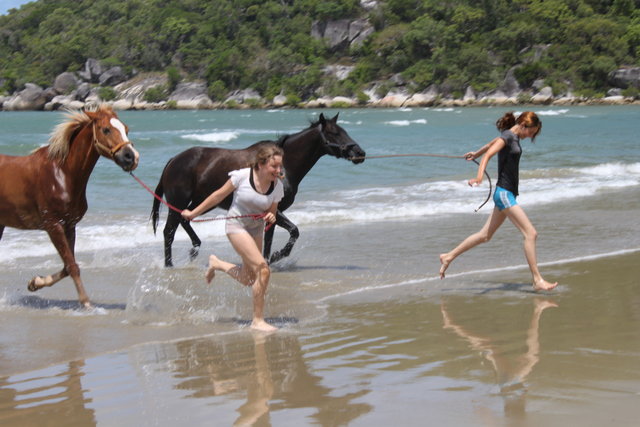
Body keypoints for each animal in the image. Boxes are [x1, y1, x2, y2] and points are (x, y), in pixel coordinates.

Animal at [0, 105, 139, 310]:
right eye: (106, 129)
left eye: (126, 129)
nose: (131, 157)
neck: (62, 173)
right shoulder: (53, 226)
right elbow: (72, 266)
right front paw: (86, 303)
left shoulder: (70, 226)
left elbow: (68, 265)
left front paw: (35, 283)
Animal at [149, 113, 364, 268]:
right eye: (335, 133)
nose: (360, 153)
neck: (283, 166)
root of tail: (173, 160)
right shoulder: (276, 210)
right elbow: (293, 231)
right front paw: (276, 256)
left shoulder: (272, 212)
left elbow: (269, 240)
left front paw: (267, 261)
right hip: (179, 201)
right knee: (169, 231)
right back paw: (169, 265)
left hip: (203, 201)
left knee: (185, 219)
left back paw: (194, 250)